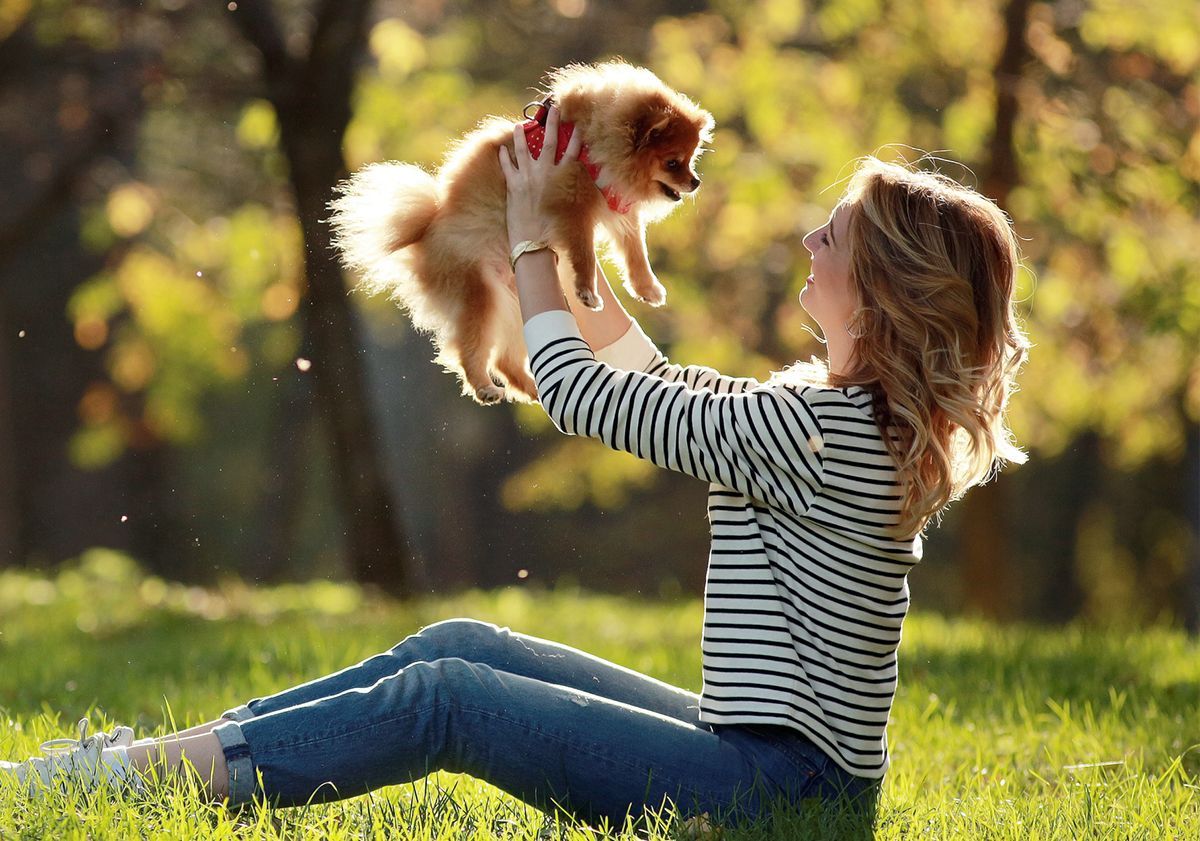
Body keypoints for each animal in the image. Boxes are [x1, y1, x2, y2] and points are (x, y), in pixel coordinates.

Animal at [328, 61, 710, 403]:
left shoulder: (615, 207)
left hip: (511, 305)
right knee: (469, 350)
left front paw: (647, 288)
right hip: (480, 296)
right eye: (673, 162)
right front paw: (588, 291)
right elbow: (584, 252)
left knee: (505, 360)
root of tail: (424, 232)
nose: (695, 182)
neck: (593, 139)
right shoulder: (571, 205)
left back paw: (534, 390)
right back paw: (484, 386)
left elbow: (635, 251)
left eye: (691, 159)